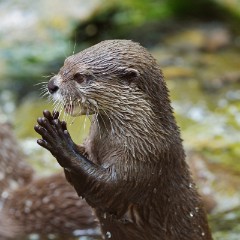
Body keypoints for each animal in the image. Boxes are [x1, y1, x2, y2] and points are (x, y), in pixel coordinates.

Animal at [35, 39, 212, 240]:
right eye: (65, 63)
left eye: (80, 77)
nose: (51, 85)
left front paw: (60, 140)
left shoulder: (148, 161)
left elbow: (109, 189)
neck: (142, 135)